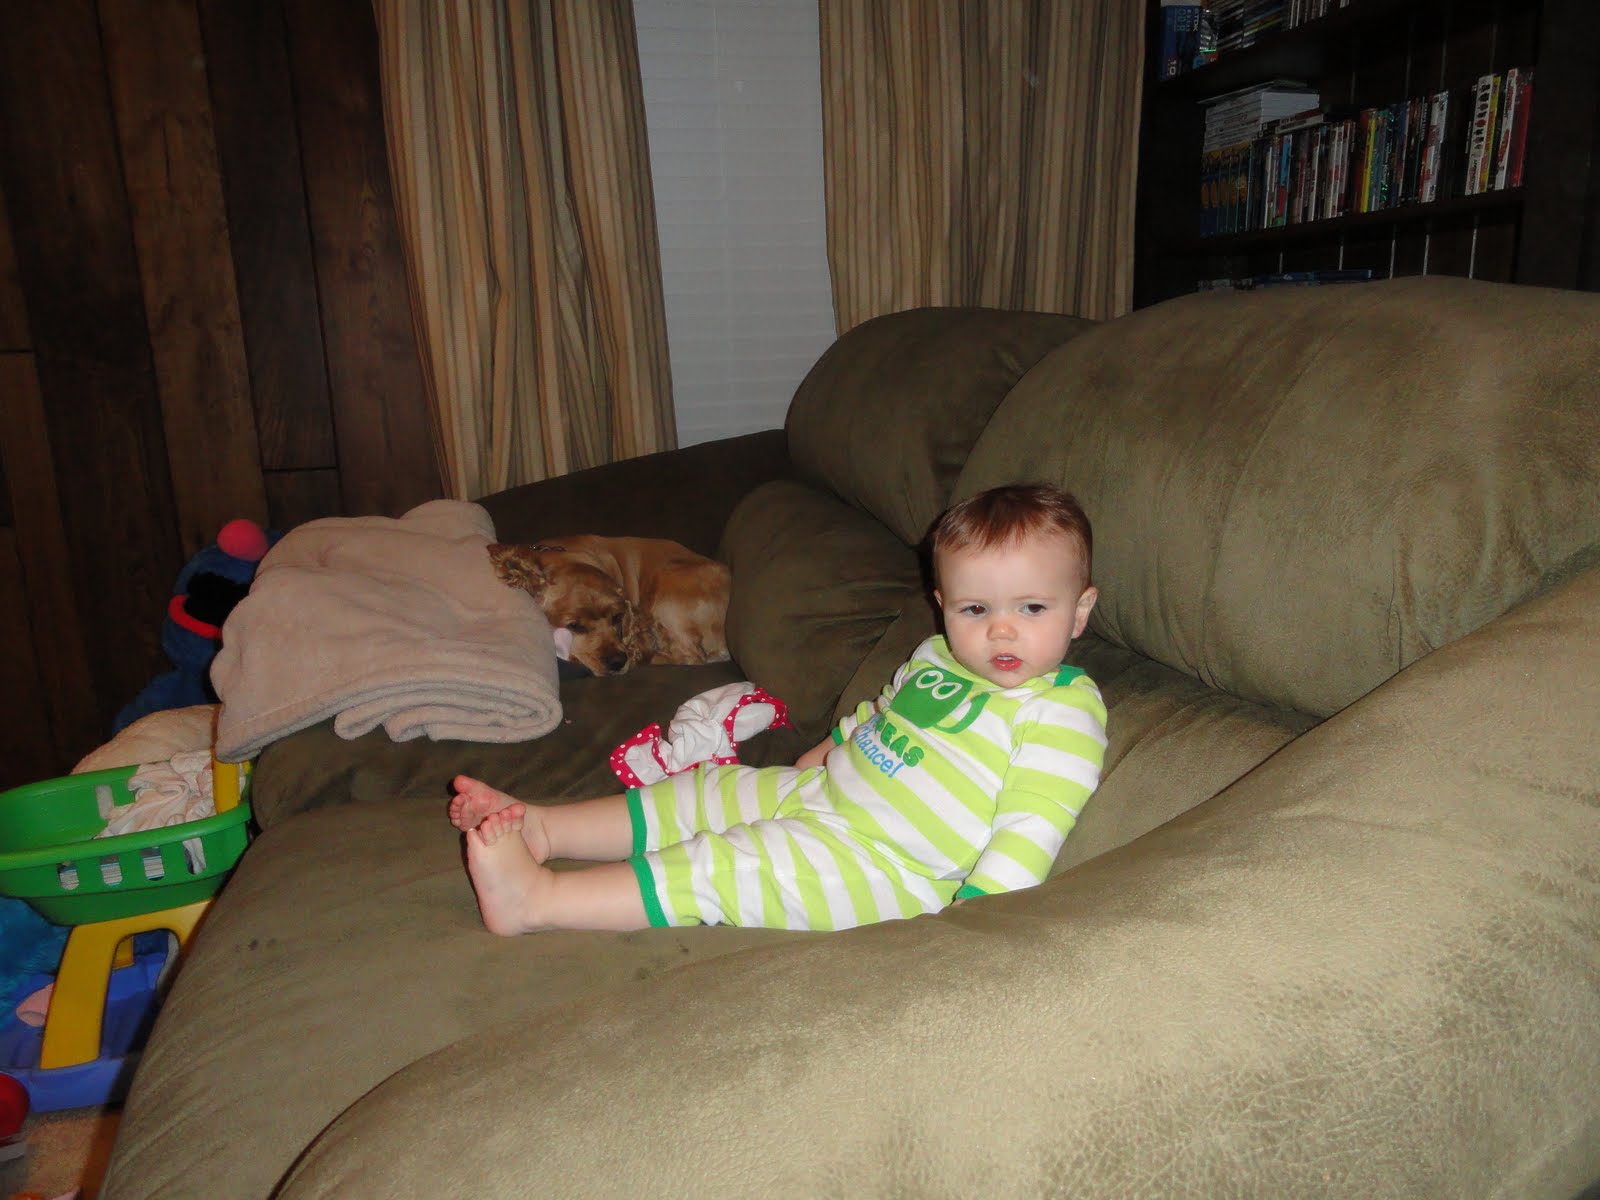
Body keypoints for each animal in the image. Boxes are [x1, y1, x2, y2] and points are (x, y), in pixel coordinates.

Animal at [488, 536, 731, 676]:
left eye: (617, 618)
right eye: (575, 626)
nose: (617, 662)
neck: (563, 557)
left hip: (668, 597)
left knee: (690, 657)